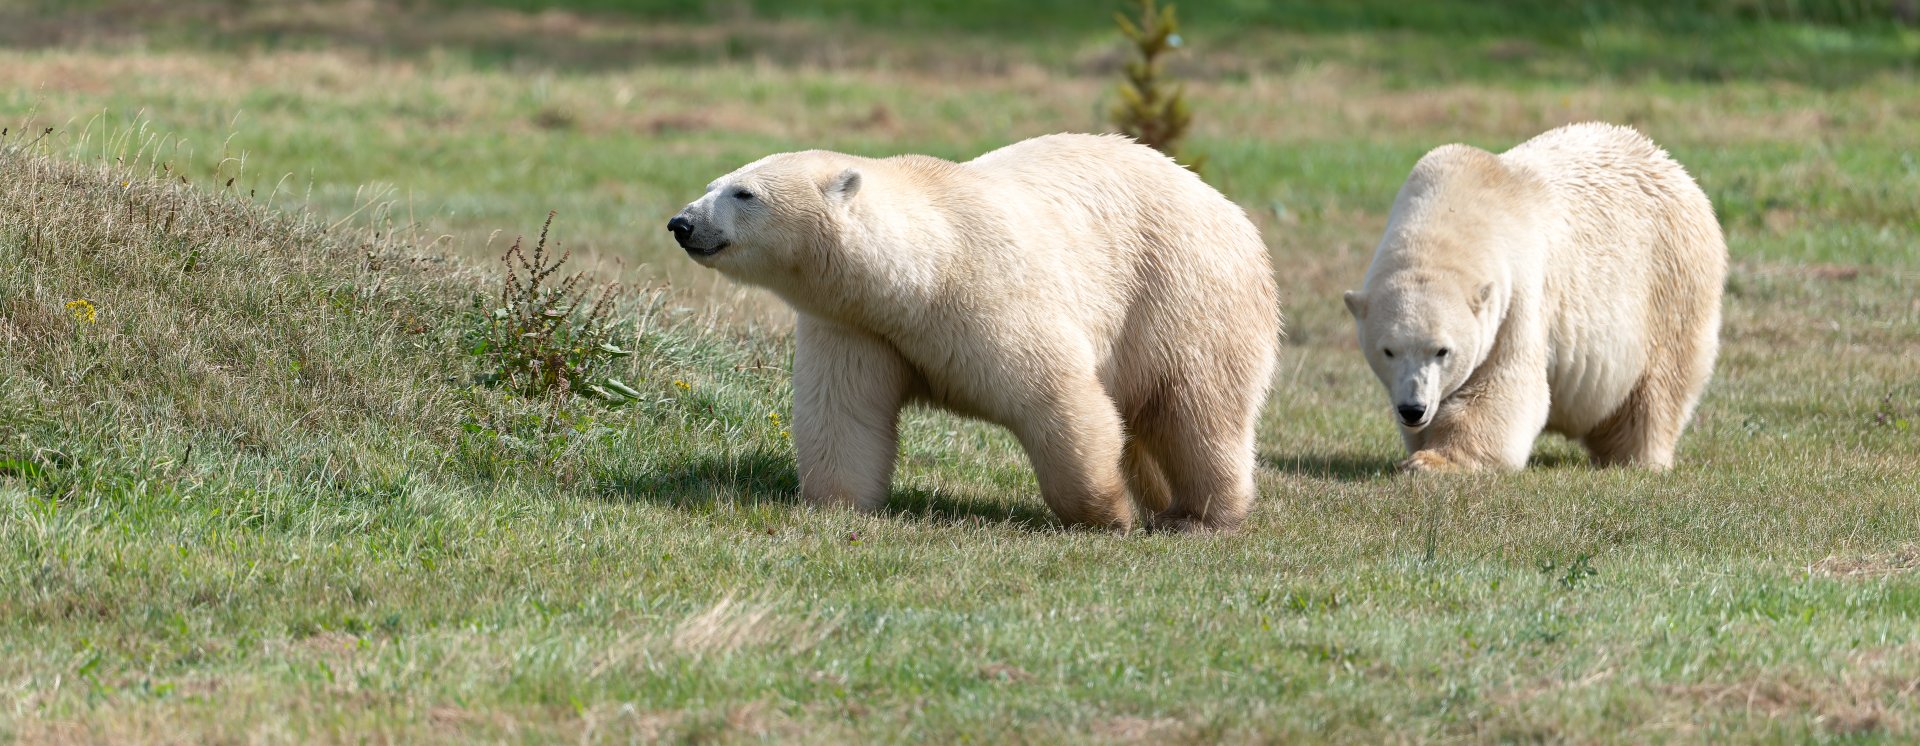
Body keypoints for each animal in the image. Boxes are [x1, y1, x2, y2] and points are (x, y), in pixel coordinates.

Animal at [668, 133, 1281, 531]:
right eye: (713, 183)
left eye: (744, 194)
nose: (682, 223)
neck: (926, 271)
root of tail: (1230, 210)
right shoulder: (856, 326)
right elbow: (843, 414)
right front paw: (835, 505)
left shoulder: (992, 298)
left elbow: (1059, 399)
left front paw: (1108, 515)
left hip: (1183, 294)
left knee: (1198, 407)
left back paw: (1199, 515)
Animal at [1342, 122, 1725, 472]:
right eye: (1388, 350)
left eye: (1442, 350)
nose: (1412, 409)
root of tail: (1674, 168)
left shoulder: (1517, 295)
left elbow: (1504, 387)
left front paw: (1432, 461)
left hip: (1670, 283)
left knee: (1657, 388)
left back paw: (1637, 458)